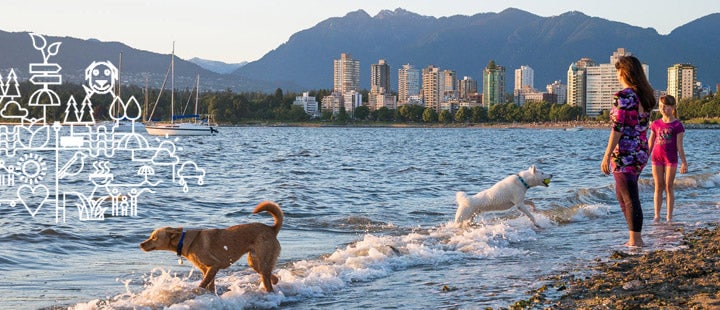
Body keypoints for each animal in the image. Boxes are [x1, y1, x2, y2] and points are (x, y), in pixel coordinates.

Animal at [139, 200, 282, 292]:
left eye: (154, 237)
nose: (141, 244)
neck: (184, 241)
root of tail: (272, 229)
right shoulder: (207, 270)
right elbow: (209, 286)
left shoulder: (214, 265)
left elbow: (202, 284)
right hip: (255, 262)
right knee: (272, 278)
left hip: (261, 262)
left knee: (269, 284)